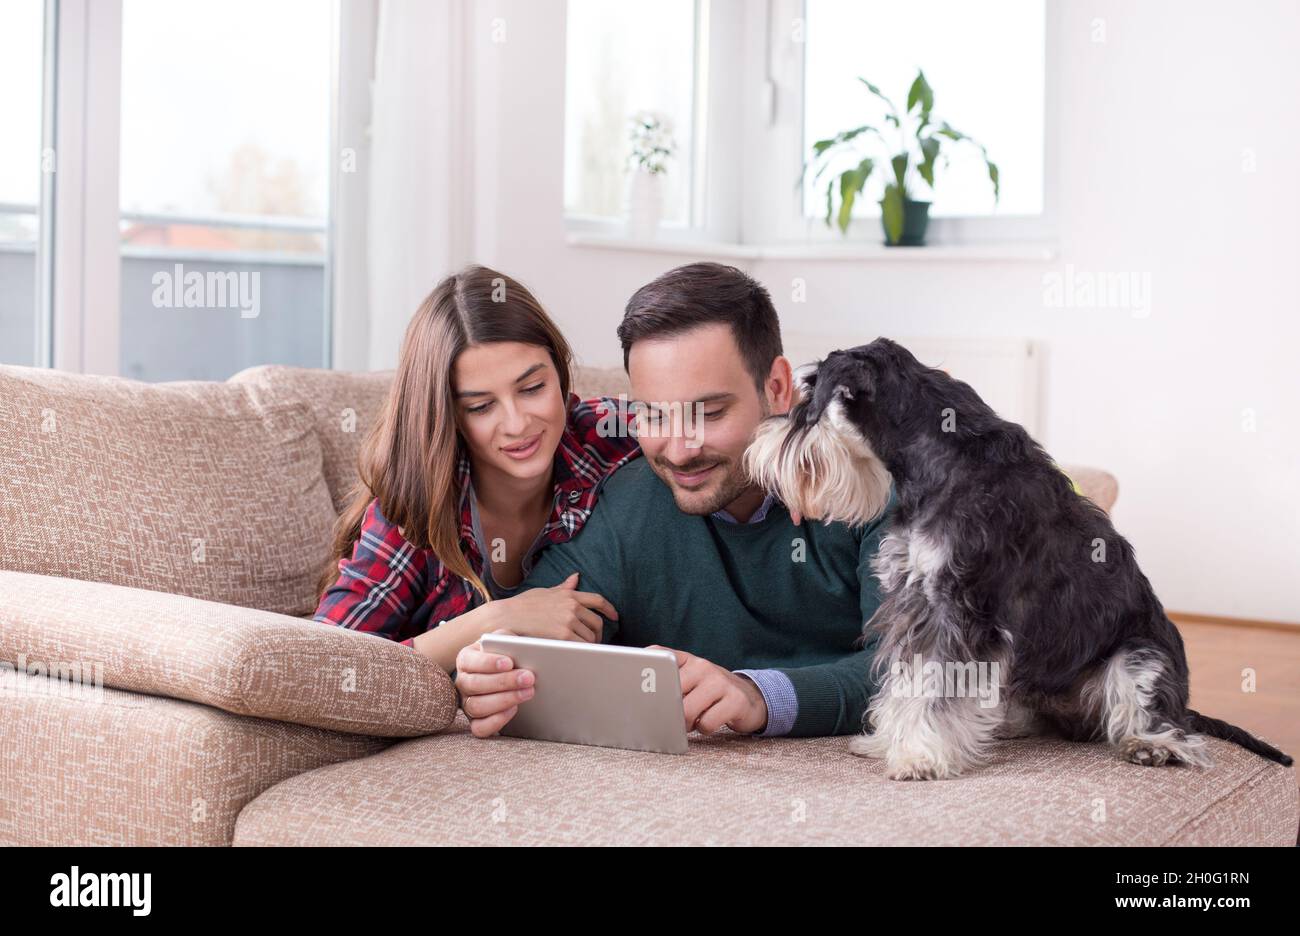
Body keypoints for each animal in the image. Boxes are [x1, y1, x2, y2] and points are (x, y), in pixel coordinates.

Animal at [743, 340, 1289, 780]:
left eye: (808, 393)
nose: (758, 440)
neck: (938, 458)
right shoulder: (916, 602)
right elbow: (906, 682)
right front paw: (887, 741)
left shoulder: (959, 610)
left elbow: (933, 688)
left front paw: (920, 756)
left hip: (1139, 659)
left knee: (1164, 723)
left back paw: (1150, 745)